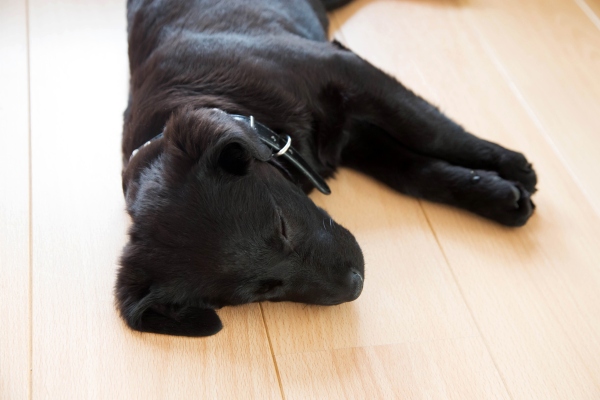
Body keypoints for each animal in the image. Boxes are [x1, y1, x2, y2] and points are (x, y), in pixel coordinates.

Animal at [116, 0, 536, 338]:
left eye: (282, 226)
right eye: (262, 292)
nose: (355, 285)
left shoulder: (345, 70)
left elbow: (428, 130)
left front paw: (511, 164)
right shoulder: (352, 139)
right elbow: (414, 171)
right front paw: (499, 196)